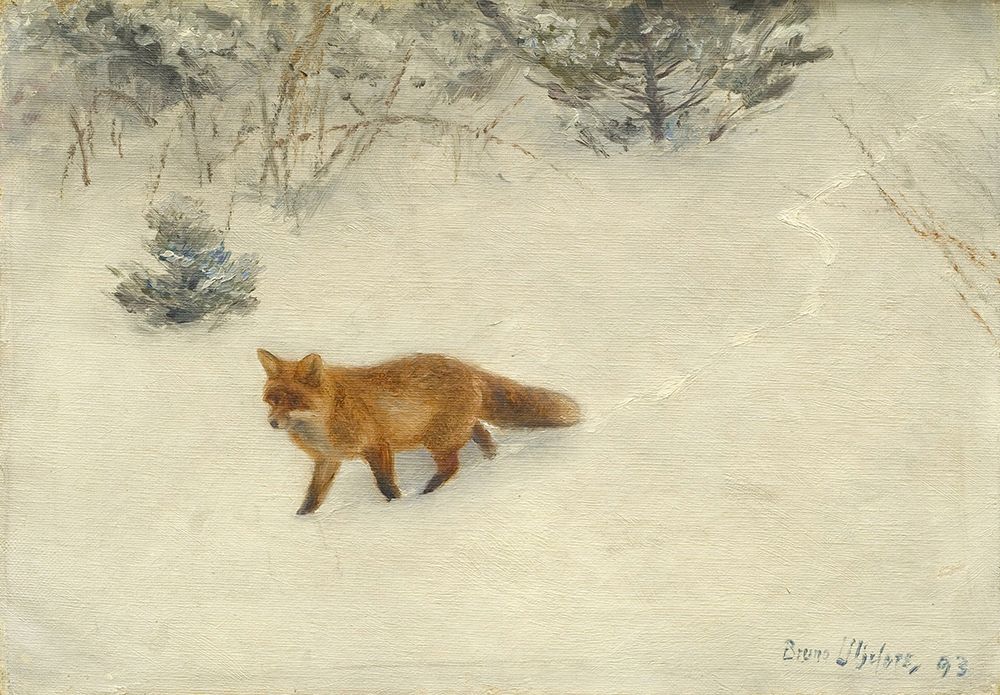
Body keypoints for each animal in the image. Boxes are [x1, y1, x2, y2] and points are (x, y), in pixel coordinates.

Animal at [256, 349, 582, 514]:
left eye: (293, 401)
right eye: (272, 399)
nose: (272, 422)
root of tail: (466, 366)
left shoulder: (377, 446)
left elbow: (386, 486)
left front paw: (397, 509)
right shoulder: (327, 460)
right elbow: (312, 497)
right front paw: (301, 520)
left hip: (438, 439)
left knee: (452, 465)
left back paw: (427, 494)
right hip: (452, 430)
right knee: (481, 433)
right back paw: (491, 461)